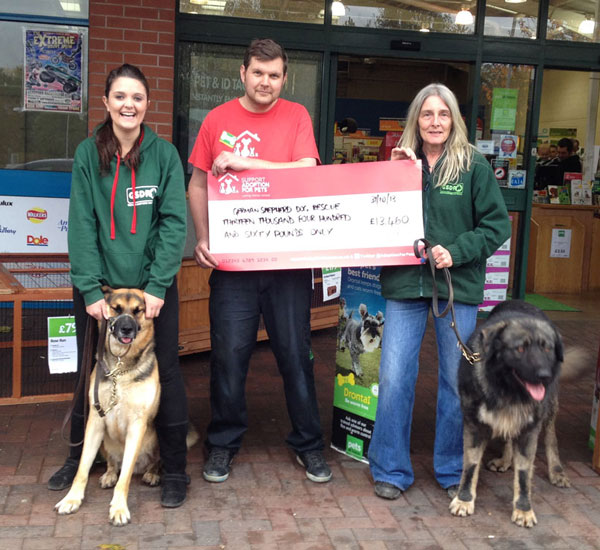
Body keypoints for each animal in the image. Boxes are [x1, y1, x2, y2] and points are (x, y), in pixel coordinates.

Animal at [54, 288, 159, 528]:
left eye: (138, 311)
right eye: (116, 309)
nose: (127, 328)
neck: (121, 367)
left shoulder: (137, 426)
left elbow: (125, 477)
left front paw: (119, 508)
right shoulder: (95, 422)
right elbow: (82, 469)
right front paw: (72, 499)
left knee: (152, 463)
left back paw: (152, 473)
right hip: (103, 441)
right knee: (112, 463)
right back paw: (109, 474)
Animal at [450, 302, 572, 532]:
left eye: (547, 348)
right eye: (520, 349)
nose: (544, 376)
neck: (508, 391)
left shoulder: (528, 432)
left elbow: (523, 475)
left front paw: (523, 510)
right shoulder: (474, 426)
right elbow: (470, 466)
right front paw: (464, 499)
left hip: (549, 407)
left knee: (551, 437)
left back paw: (557, 471)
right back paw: (505, 459)